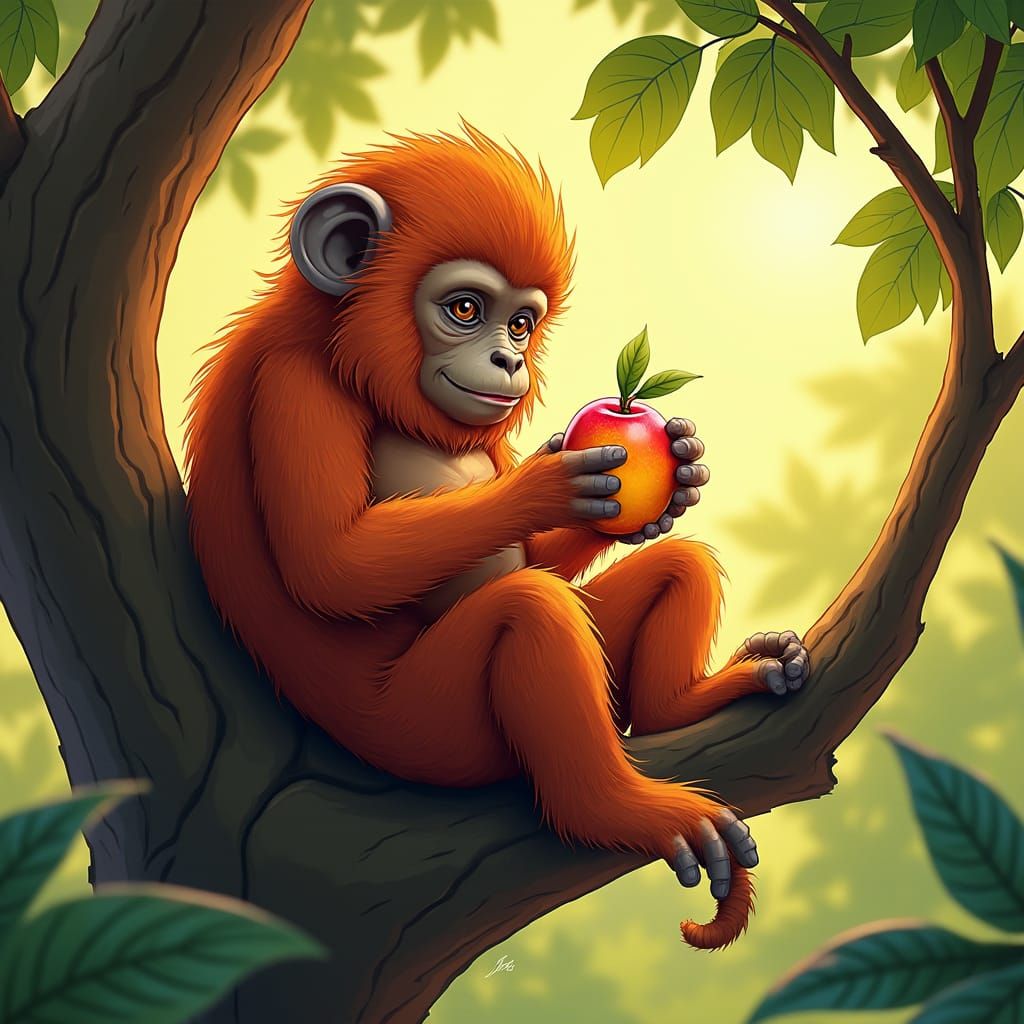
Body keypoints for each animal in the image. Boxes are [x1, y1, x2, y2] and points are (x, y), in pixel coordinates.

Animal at [184, 125, 810, 951]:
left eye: (520, 323)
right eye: (464, 307)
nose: (509, 357)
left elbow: (556, 556)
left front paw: (674, 477)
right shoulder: (290, 387)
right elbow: (330, 568)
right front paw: (547, 483)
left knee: (671, 572)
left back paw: (686, 702)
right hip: (427, 729)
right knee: (531, 612)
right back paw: (617, 810)